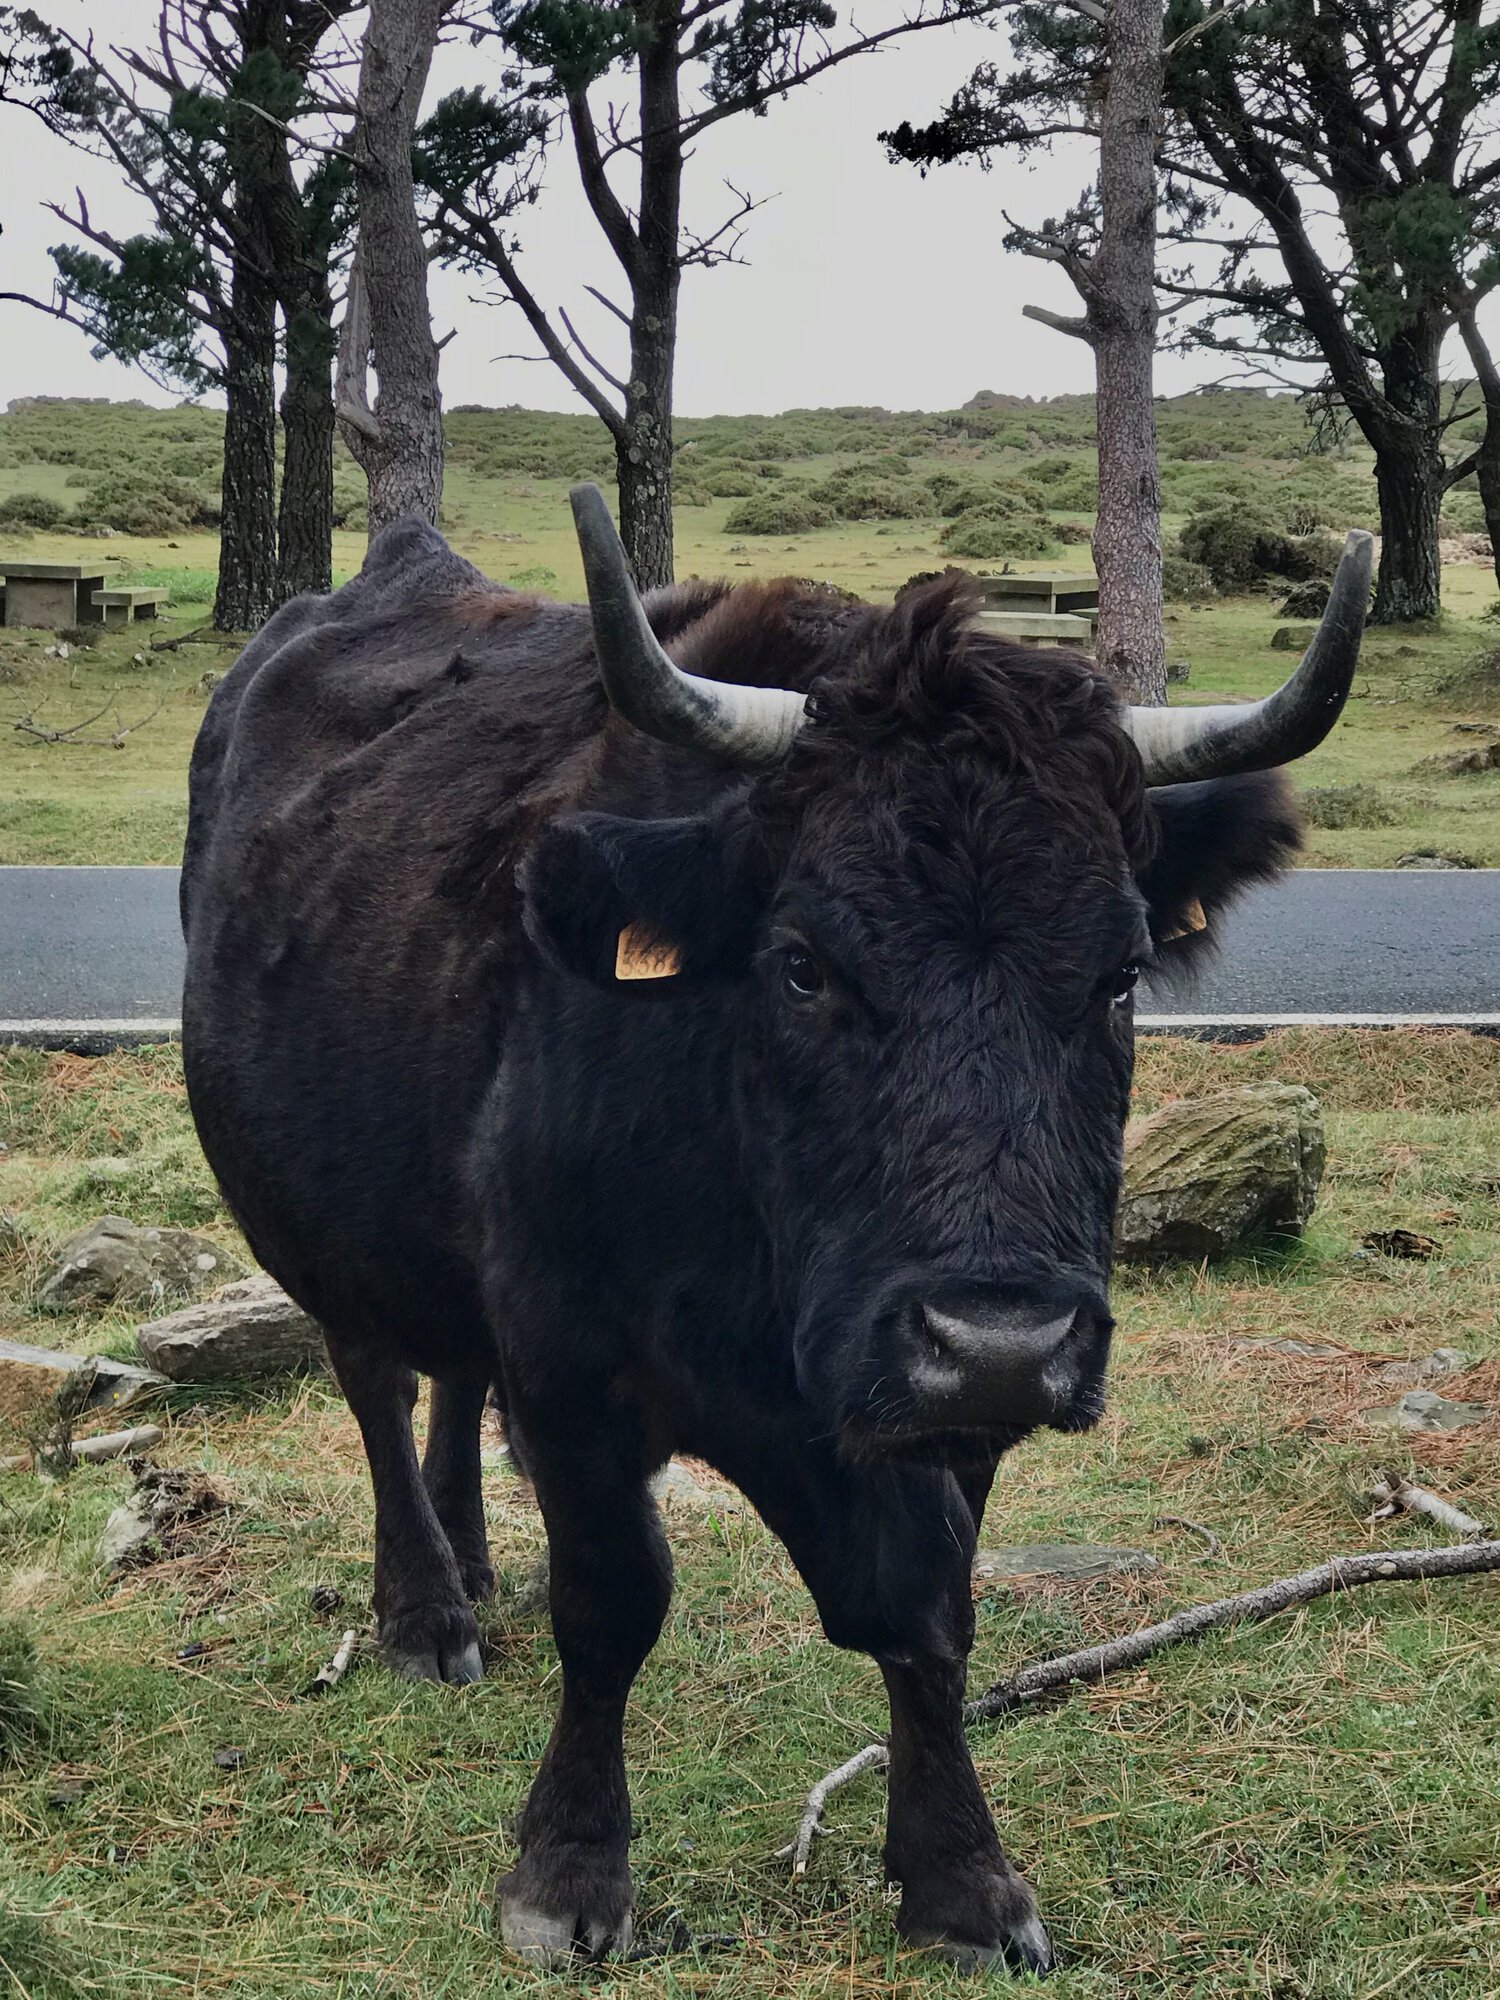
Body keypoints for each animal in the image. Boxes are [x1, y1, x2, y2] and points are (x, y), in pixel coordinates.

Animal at [180, 488, 1372, 1976]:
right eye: (803, 965)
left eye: (1119, 973)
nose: (997, 1339)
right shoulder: (570, 1365)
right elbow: (614, 1600)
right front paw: (567, 1875)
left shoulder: (937, 1417)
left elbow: (929, 1608)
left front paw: (964, 1880)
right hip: (321, 1222)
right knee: (379, 1384)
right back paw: (428, 1609)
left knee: (448, 1373)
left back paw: (472, 1560)